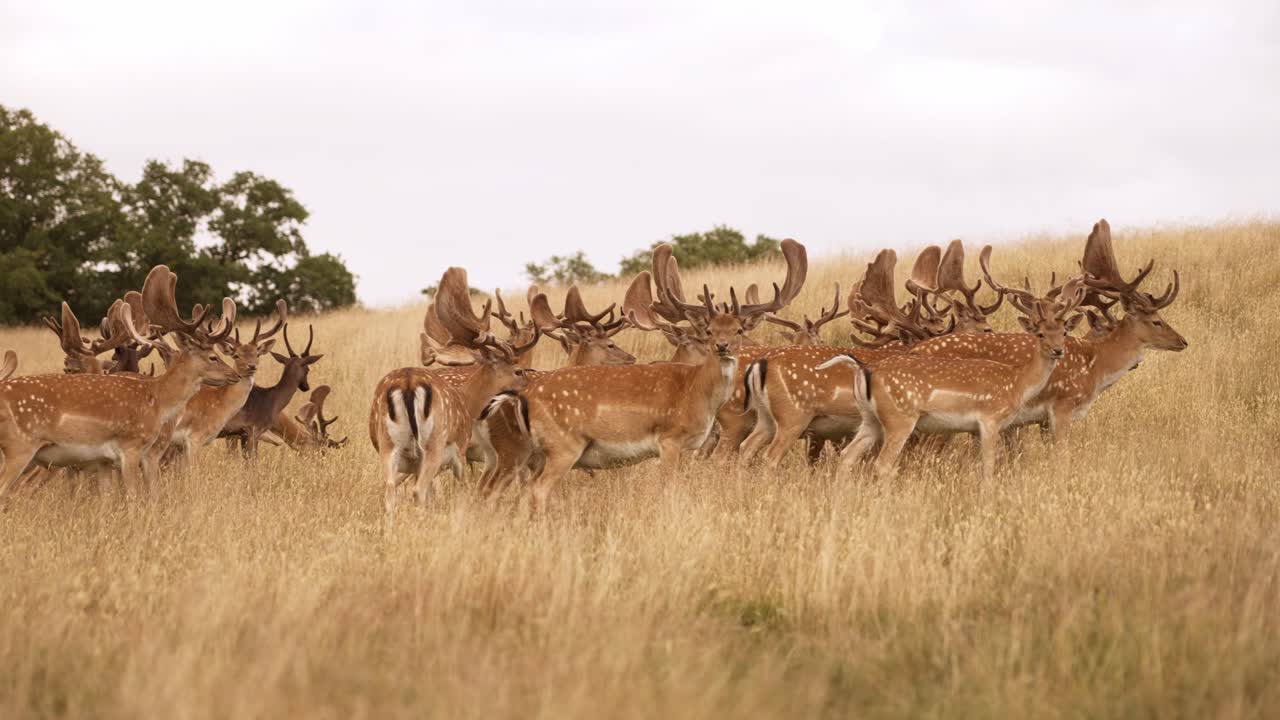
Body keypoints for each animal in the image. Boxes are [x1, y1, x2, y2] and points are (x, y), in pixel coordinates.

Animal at [0, 265, 241, 501]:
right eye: (213, 357)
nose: (235, 375)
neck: (158, 399)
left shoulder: (105, 460)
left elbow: (109, 499)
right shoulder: (132, 448)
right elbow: (135, 496)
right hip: (20, 446)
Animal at [370, 266, 538, 519]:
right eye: (517, 370)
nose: (531, 384)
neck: (468, 401)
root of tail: (408, 383)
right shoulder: (460, 452)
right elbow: (467, 489)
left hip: (389, 446)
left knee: (390, 490)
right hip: (434, 445)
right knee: (418, 490)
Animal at [485, 239, 806, 513]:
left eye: (738, 329)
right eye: (709, 330)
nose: (722, 346)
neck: (696, 393)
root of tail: (522, 397)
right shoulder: (670, 438)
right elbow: (672, 487)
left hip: (535, 452)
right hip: (563, 445)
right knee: (537, 489)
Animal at [816, 265, 1087, 480]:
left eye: (1064, 331)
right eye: (1040, 334)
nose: (1059, 350)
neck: (1018, 382)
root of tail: (863, 370)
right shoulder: (989, 420)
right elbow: (989, 465)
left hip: (870, 420)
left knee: (847, 457)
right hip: (899, 419)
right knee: (882, 464)